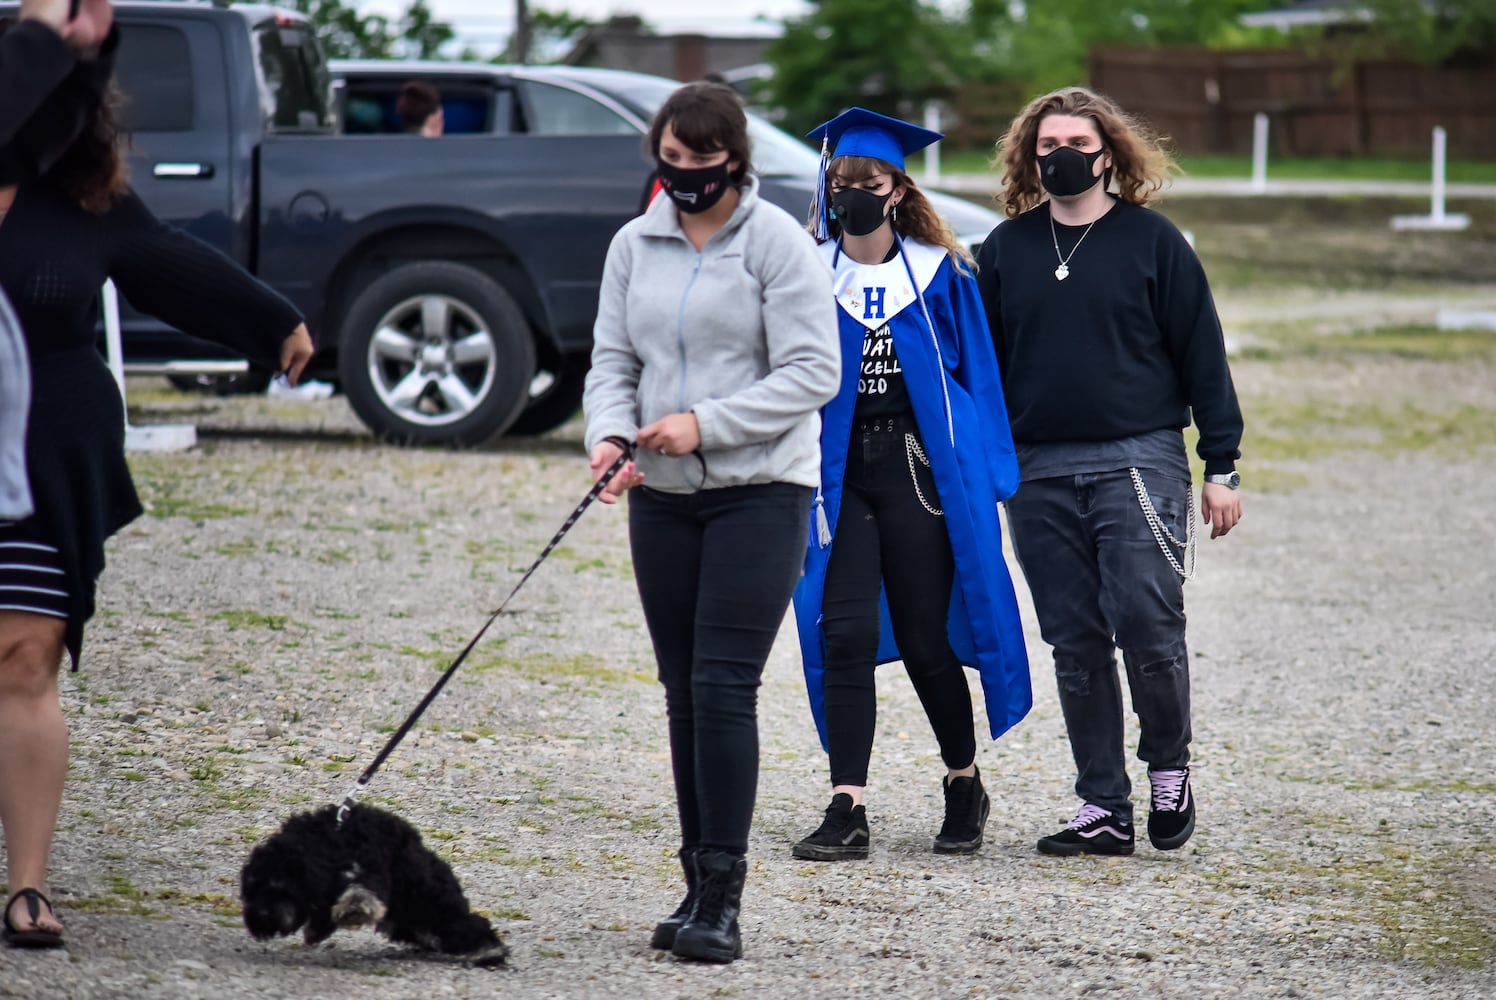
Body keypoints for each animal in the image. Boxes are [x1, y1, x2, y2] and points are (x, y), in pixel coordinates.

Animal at [239, 802, 508, 964]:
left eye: (282, 886)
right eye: (251, 889)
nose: (261, 915)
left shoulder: (368, 869)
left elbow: (359, 891)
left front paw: (354, 908)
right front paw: (316, 931)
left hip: (427, 898)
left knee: (461, 922)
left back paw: (487, 950)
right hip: (409, 915)